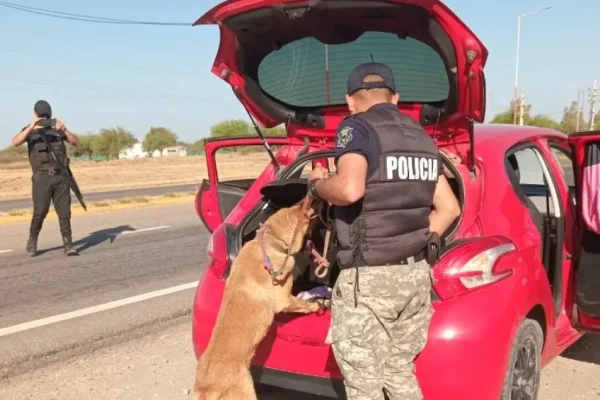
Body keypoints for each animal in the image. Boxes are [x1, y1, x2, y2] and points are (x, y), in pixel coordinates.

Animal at [193, 197, 326, 400]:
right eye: (312, 210)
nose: (318, 199)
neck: (272, 242)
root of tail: (207, 389)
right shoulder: (285, 300)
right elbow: (304, 303)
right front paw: (316, 304)